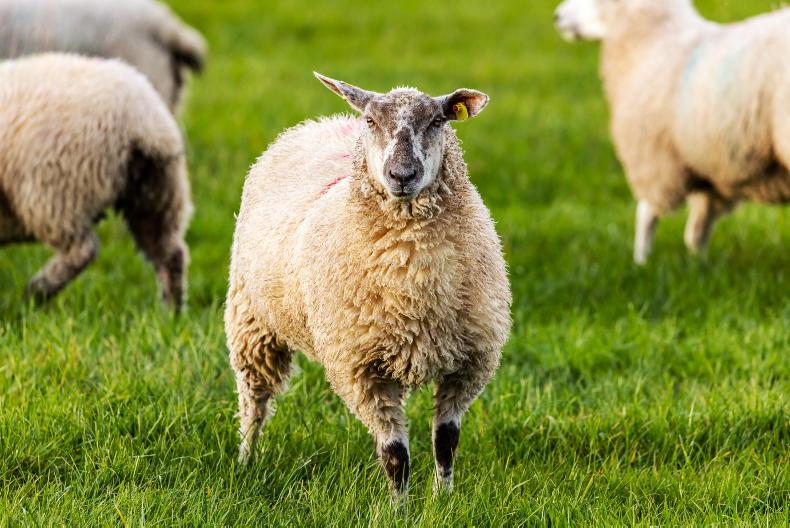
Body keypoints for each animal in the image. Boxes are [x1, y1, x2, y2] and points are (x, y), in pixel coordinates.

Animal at [0, 53, 192, 309]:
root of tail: (142, 121)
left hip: (56, 192)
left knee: (83, 249)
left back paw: (38, 291)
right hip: (158, 192)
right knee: (170, 253)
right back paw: (172, 312)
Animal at [226, 72, 512, 498]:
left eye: (437, 121)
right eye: (373, 121)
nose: (402, 175)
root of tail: (325, 122)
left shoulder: (470, 362)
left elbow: (445, 441)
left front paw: (443, 498)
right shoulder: (360, 369)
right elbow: (395, 455)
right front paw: (400, 506)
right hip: (252, 321)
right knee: (254, 401)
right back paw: (246, 458)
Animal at [554, 0, 790, 263]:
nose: (557, 15)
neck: (654, 41)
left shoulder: (655, 155)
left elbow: (646, 212)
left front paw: (641, 261)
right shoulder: (711, 168)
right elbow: (698, 229)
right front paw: (699, 264)